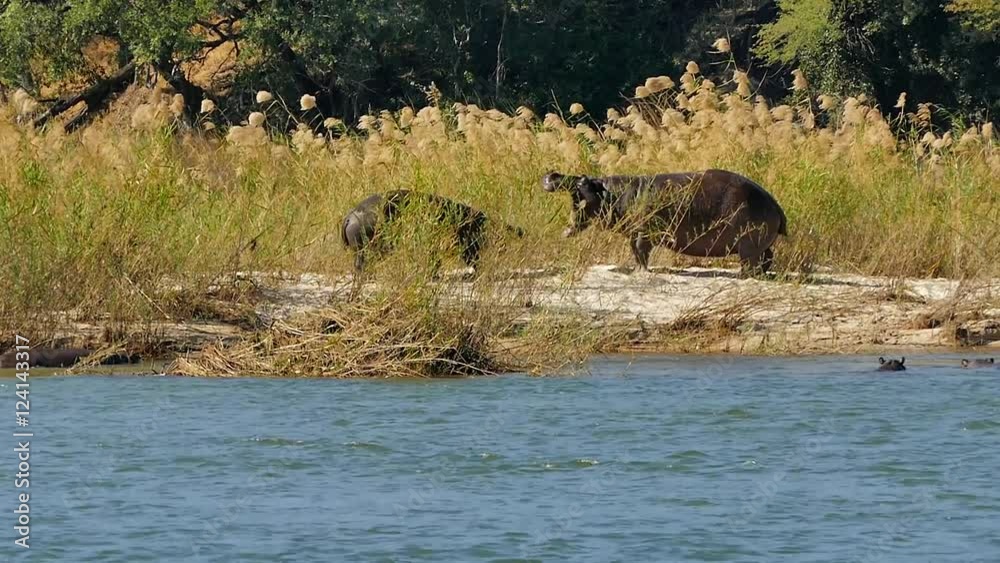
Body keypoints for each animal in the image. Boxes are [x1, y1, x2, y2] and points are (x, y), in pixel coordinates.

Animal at [541, 169, 788, 275]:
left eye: (582, 181)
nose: (552, 173)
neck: (610, 193)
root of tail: (776, 204)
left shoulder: (643, 234)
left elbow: (641, 252)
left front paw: (640, 272)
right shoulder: (634, 233)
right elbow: (635, 252)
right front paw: (636, 270)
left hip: (749, 244)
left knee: (753, 262)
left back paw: (744, 276)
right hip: (761, 244)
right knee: (768, 258)